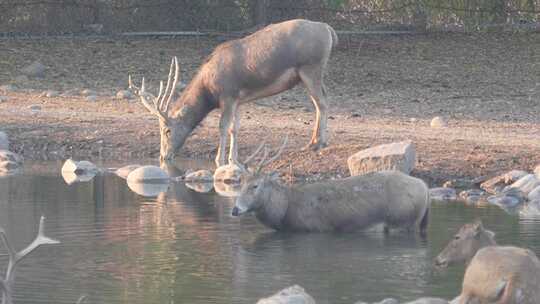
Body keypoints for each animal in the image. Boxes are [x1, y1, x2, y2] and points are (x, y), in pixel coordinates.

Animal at [129, 19, 338, 166]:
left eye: (167, 130)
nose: (164, 156)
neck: (209, 91)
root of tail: (328, 29)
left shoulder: (227, 95)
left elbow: (222, 126)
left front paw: (219, 160)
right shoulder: (239, 99)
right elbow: (234, 127)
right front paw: (234, 160)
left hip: (310, 68)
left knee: (322, 102)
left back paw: (318, 143)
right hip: (309, 74)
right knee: (322, 100)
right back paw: (312, 142)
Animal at [231, 138, 430, 233]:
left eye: (255, 186)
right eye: (240, 183)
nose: (235, 209)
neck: (285, 211)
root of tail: (425, 187)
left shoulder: (314, 228)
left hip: (404, 219)